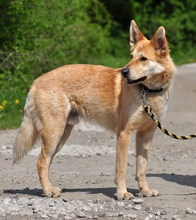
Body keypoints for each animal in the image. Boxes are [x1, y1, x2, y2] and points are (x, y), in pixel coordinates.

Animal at [13, 20, 176, 199]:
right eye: (131, 57)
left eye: (143, 59)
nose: (124, 72)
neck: (147, 92)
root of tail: (37, 80)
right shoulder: (124, 134)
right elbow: (121, 169)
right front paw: (122, 193)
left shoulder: (145, 136)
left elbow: (142, 168)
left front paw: (145, 191)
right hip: (54, 133)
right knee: (41, 162)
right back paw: (48, 191)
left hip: (61, 136)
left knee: (46, 162)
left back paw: (50, 188)